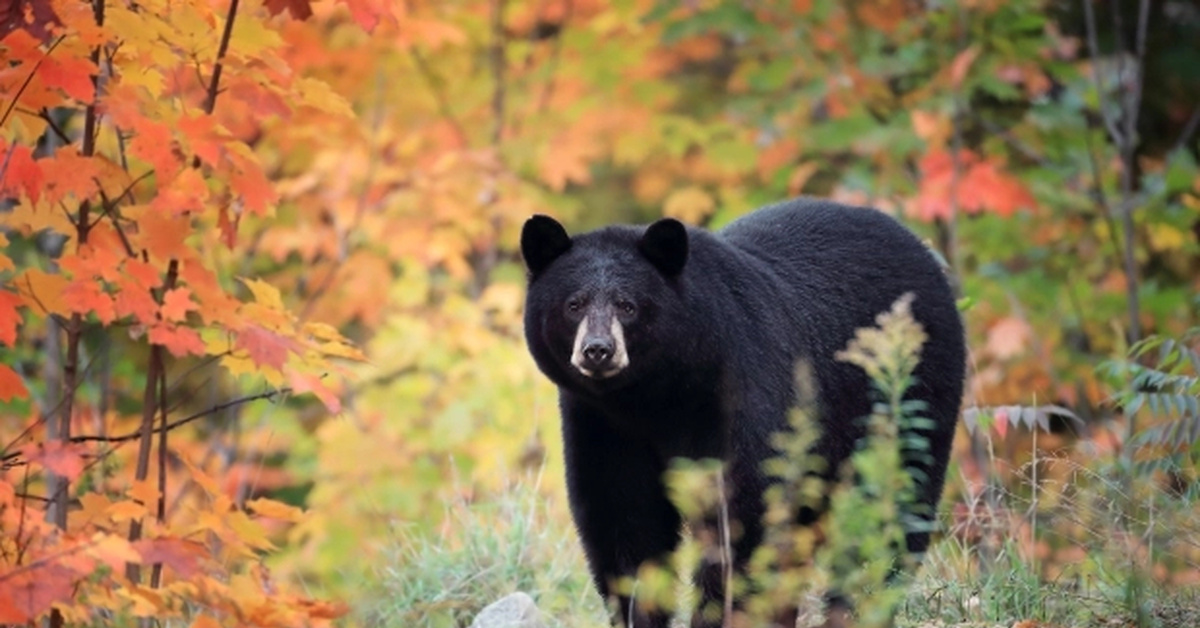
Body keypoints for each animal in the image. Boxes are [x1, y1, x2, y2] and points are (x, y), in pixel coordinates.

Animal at [518, 198, 964, 628]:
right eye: (574, 304)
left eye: (627, 305)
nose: (597, 350)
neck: (655, 395)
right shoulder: (602, 423)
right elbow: (623, 517)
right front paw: (638, 614)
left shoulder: (742, 391)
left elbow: (744, 512)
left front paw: (717, 615)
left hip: (908, 399)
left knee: (892, 507)